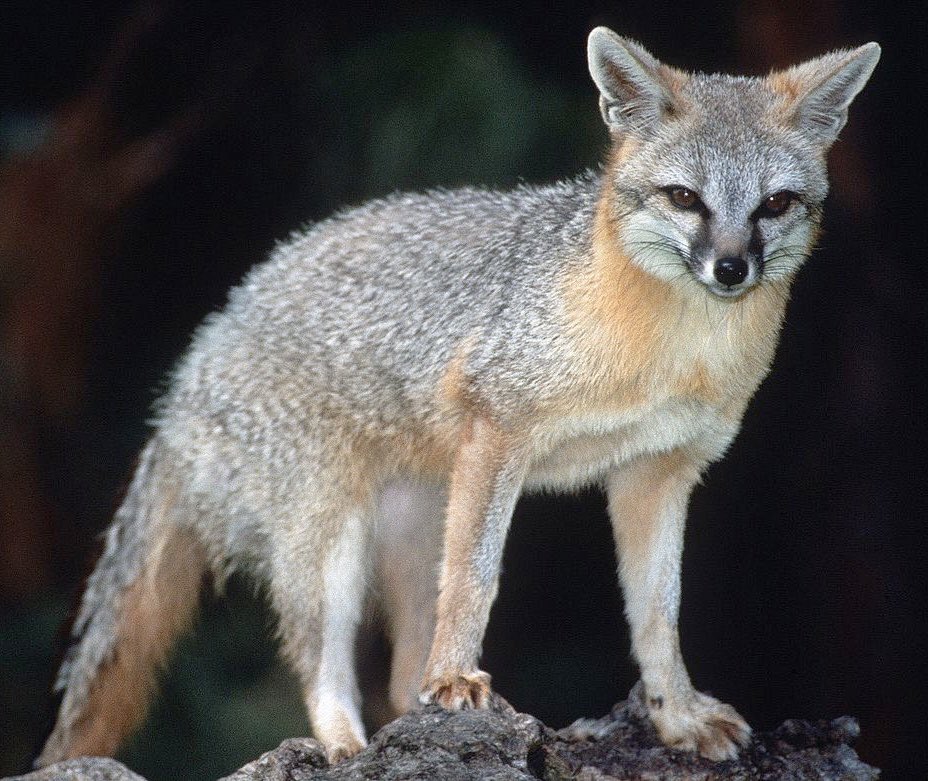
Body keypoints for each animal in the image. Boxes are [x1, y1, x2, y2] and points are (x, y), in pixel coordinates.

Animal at [37, 26, 880, 767]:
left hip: (412, 530)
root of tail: (191, 367)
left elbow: (658, 614)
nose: (731, 269)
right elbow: (477, 578)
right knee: (320, 657)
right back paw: (345, 744)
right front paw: (456, 679)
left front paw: (675, 716)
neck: (673, 353)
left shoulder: (657, 472)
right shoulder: (496, 428)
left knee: (398, 669)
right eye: (685, 198)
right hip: (330, 542)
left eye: (774, 205)